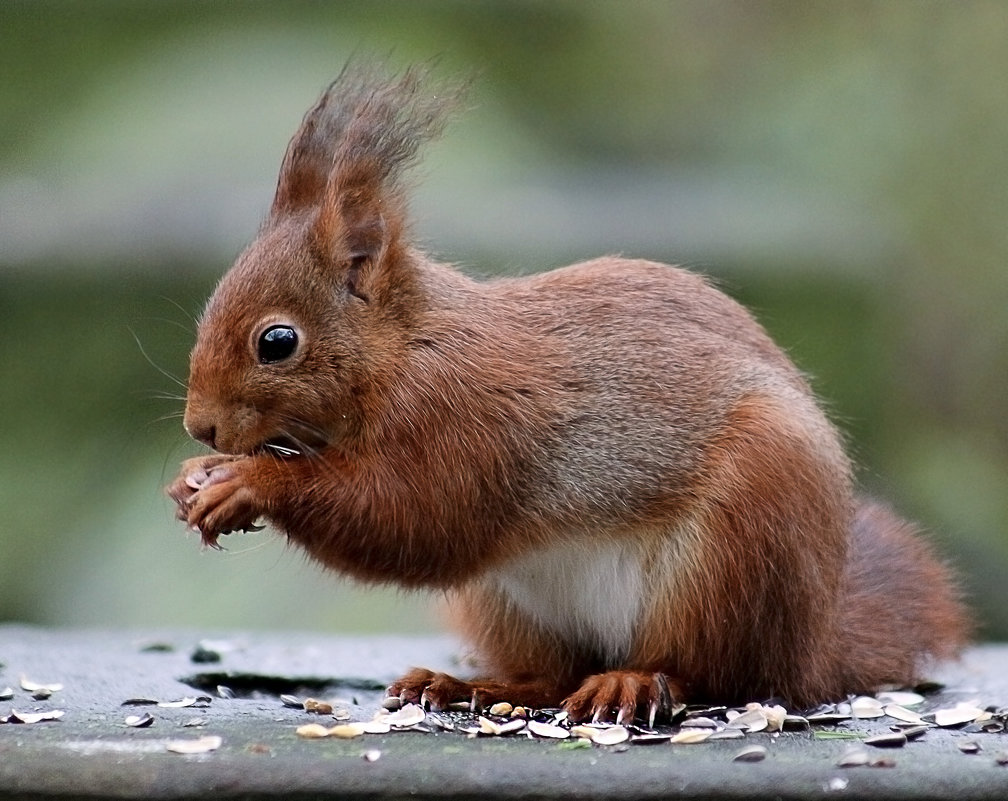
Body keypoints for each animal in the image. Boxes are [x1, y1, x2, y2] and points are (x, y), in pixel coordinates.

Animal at [167, 65, 967, 725]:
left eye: (277, 341)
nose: (202, 428)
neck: (400, 353)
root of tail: (811, 644)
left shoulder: (464, 420)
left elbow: (411, 517)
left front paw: (249, 483)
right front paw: (192, 479)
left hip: (737, 547)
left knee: (713, 671)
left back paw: (634, 681)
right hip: (507, 603)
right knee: (552, 675)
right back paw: (471, 685)